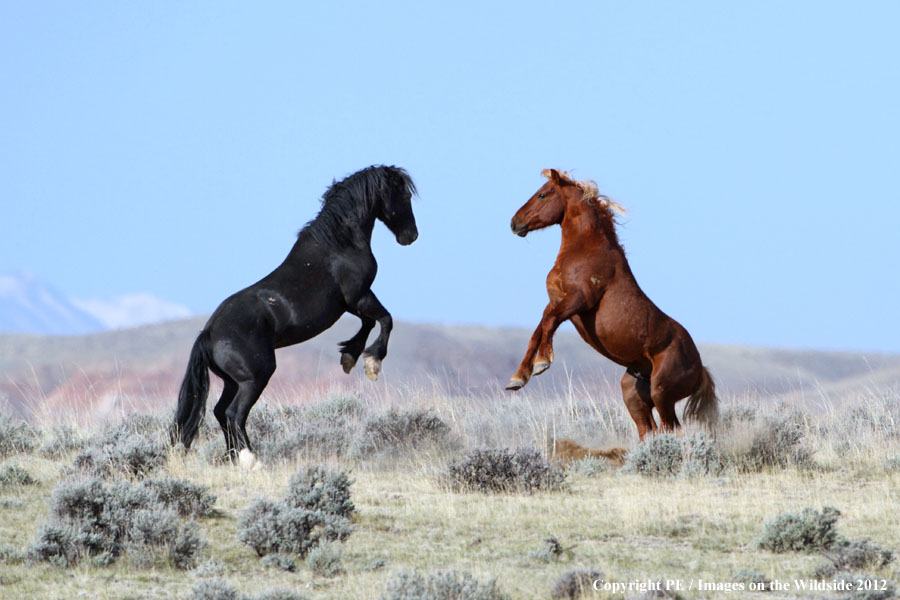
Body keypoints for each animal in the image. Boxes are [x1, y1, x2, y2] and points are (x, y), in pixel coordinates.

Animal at [171, 165, 418, 468]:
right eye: (404, 195)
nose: (411, 236)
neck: (339, 246)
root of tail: (209, 334)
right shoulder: (358, 297)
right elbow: (385, 320)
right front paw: (372, 363)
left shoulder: (349, 304)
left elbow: (370, 322)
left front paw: (349, 356)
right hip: (255, 378)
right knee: (234, 414)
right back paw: (251, 460)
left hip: (232, 381)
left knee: (220, 412)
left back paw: (233, 459)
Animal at [506, 170, 716, 440]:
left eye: (543, 194)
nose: (514, 223)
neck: (585, 249)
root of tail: (700, 369)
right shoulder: (554, 302)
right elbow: (538, 330)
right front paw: (518, 378)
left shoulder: (579, 300)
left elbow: (549, 323)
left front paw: (542, 363)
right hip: (634, 394)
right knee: (648, 430)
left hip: (662, 393)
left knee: (671, 429)